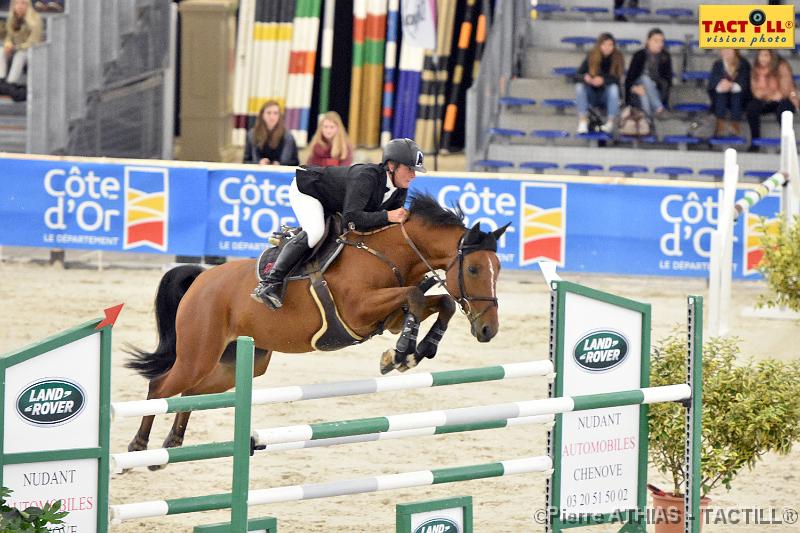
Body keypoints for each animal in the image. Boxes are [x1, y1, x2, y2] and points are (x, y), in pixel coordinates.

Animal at [127, 193, 510, 464]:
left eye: (498, 268)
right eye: (473, 269)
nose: (488, 329)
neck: (386, 252)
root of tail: (201, 279)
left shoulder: (390, 317)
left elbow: (440, 303)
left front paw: (416, 351)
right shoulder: (358, 311)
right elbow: (417, 297)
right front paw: (401, 354)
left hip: (239, 362)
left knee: (193, 392)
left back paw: (172, 444)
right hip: (199, 353)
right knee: (160, 385)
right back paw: (139, 445)